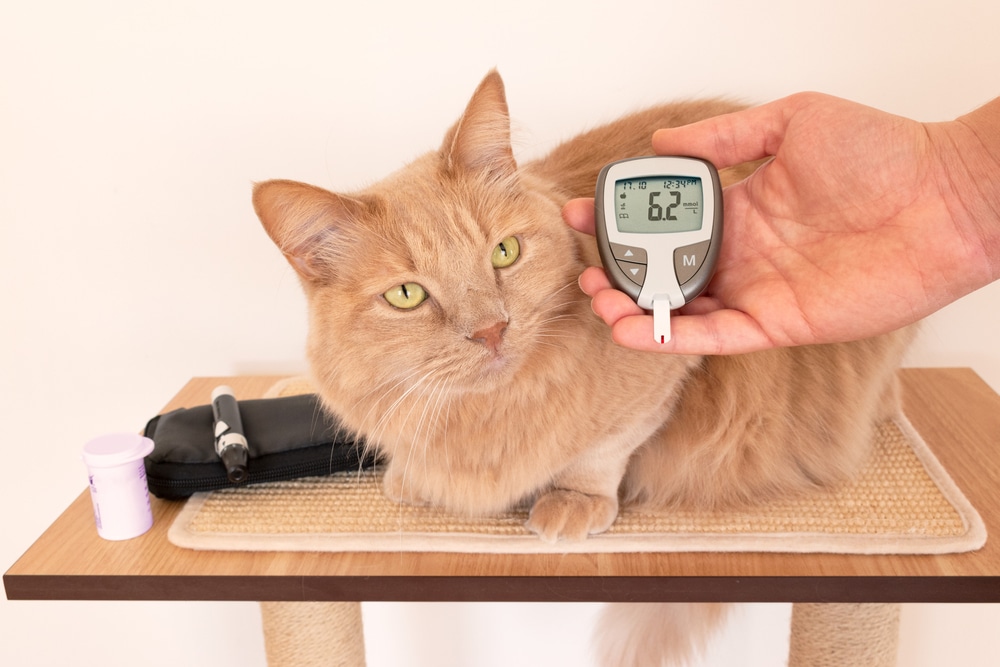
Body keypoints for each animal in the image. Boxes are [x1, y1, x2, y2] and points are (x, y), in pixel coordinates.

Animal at [256, 72, 916, 667]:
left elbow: (602, 450)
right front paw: (409, 472)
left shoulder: (662, 383)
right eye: (407, 296)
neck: (485, 417)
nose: (491, 329)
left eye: (504, 253)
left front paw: (572, 500)